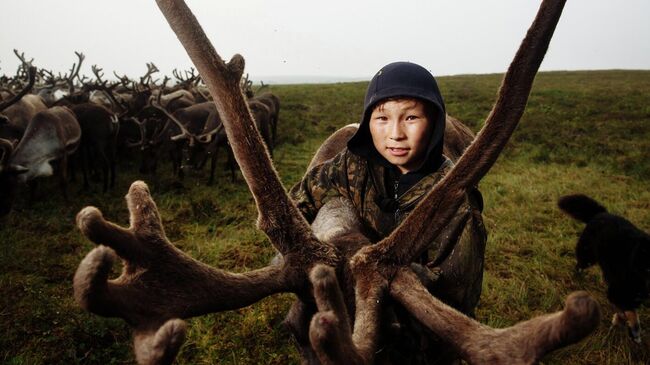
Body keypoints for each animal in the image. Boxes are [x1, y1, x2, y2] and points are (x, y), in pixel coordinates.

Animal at [556, 193, 644, 342]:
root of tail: (601, 213)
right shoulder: (618, 291)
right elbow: (630, 311)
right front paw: (634, 329)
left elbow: (627, 309)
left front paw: (620, 320)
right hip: (587, 256)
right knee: (579, 265)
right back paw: (578, 278)